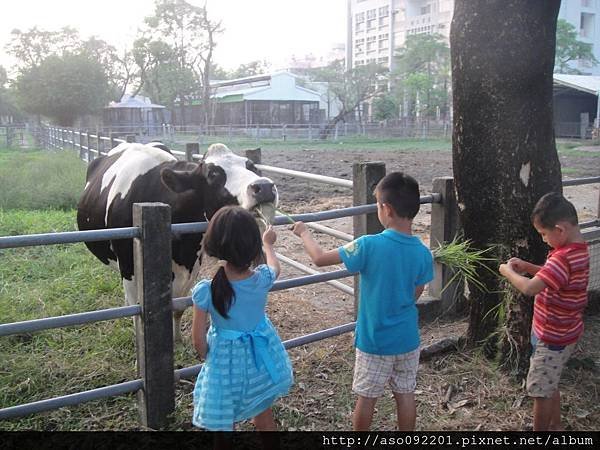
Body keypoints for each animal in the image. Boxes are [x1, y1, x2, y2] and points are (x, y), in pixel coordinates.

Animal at [75, 142, 278, 340]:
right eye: (212, 174)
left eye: (252, 167)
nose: (264, 187)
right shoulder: (128, 268)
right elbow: (137, 313)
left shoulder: (193, 264)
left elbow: (179, 306)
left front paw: (178, 340)